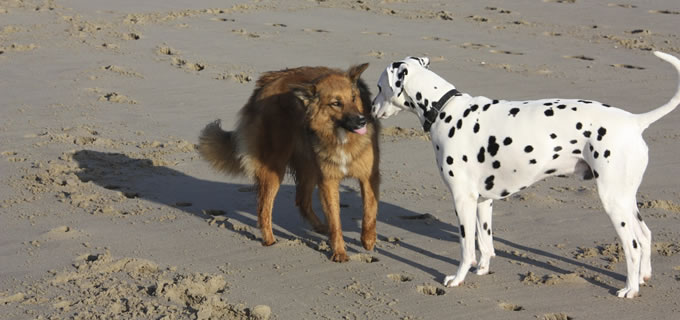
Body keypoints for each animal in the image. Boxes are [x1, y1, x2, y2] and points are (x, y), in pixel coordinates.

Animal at [197, 63, 380, 262]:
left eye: (354, 98)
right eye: (336, 103)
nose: (362, 121)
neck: (340, 136)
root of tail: (262, 87)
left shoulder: (368, 177)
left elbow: (369, 210)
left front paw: (368, 240)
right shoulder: (328, 181)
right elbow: (335, 221)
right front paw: (339, 252)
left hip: (308, 167)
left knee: (301, 200)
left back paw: (320, 227)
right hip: (275, 169)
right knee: (264, 207)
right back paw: (270, 240)